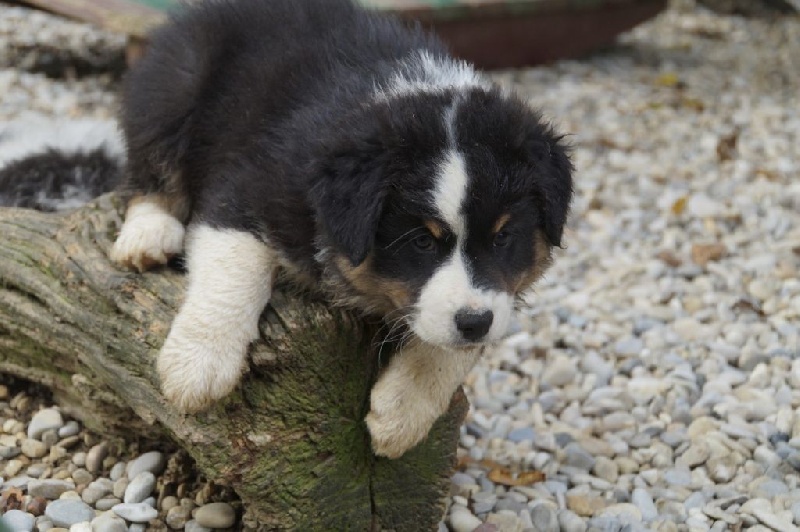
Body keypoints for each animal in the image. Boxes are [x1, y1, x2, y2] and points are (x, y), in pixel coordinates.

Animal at [105, 0, 573, 459]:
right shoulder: (245, 192)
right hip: (177, 84)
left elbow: (451, 341)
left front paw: (401, 415)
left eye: (503, 237)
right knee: (151, 165)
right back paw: (149, 236)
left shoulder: (495, 294)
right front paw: (197, 367)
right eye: (421, 241)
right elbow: (232, 274)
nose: (474, 322)